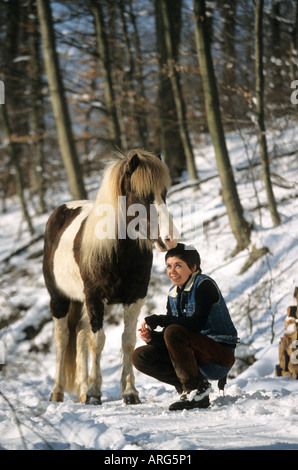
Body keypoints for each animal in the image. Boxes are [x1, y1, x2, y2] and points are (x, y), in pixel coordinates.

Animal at [42, 150, 178, 404]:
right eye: (142, 196)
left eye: (164, 194)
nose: (170, 239)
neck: (117, 251)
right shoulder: (95, 298)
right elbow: (98, 342)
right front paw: (95, 392)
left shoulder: (135, 298)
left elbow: (128, 341)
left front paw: (130, 392)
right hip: (59, 299)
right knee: (63, 338)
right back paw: (57, 392)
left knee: (80, 335)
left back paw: (82, 391)